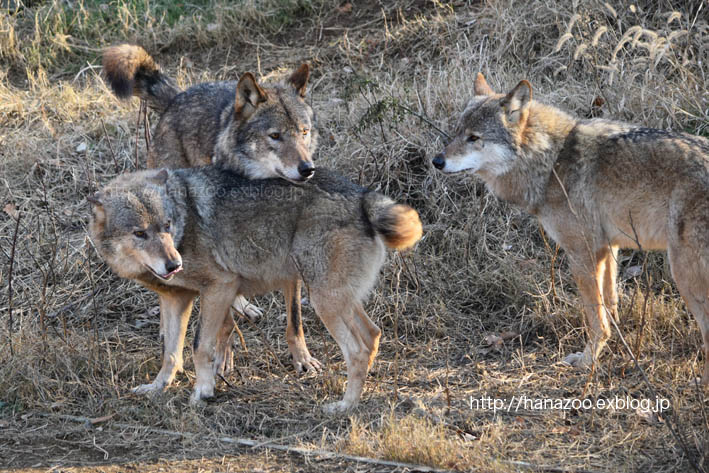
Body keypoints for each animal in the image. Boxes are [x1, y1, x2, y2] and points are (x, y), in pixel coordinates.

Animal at [87, 168, 420, 412]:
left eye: (167, 225)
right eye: (139, 233)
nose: (174, 264)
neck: (185, 220)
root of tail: (365, 198)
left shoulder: (220, 287)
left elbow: (199, 346)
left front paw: (202, 392)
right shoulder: (176, 299)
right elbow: (171, 353)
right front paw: (157, 388)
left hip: (323, 301)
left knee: (357, 350)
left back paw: (345, 406)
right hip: (337, 300)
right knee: (373, 334)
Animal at [101, 44, 320, 372]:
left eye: (304, 132)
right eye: (275, 136)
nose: (307, 169)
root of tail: (177, 97)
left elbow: (294, 321)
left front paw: (303, 359)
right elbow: (223, 320)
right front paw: (223, 356)